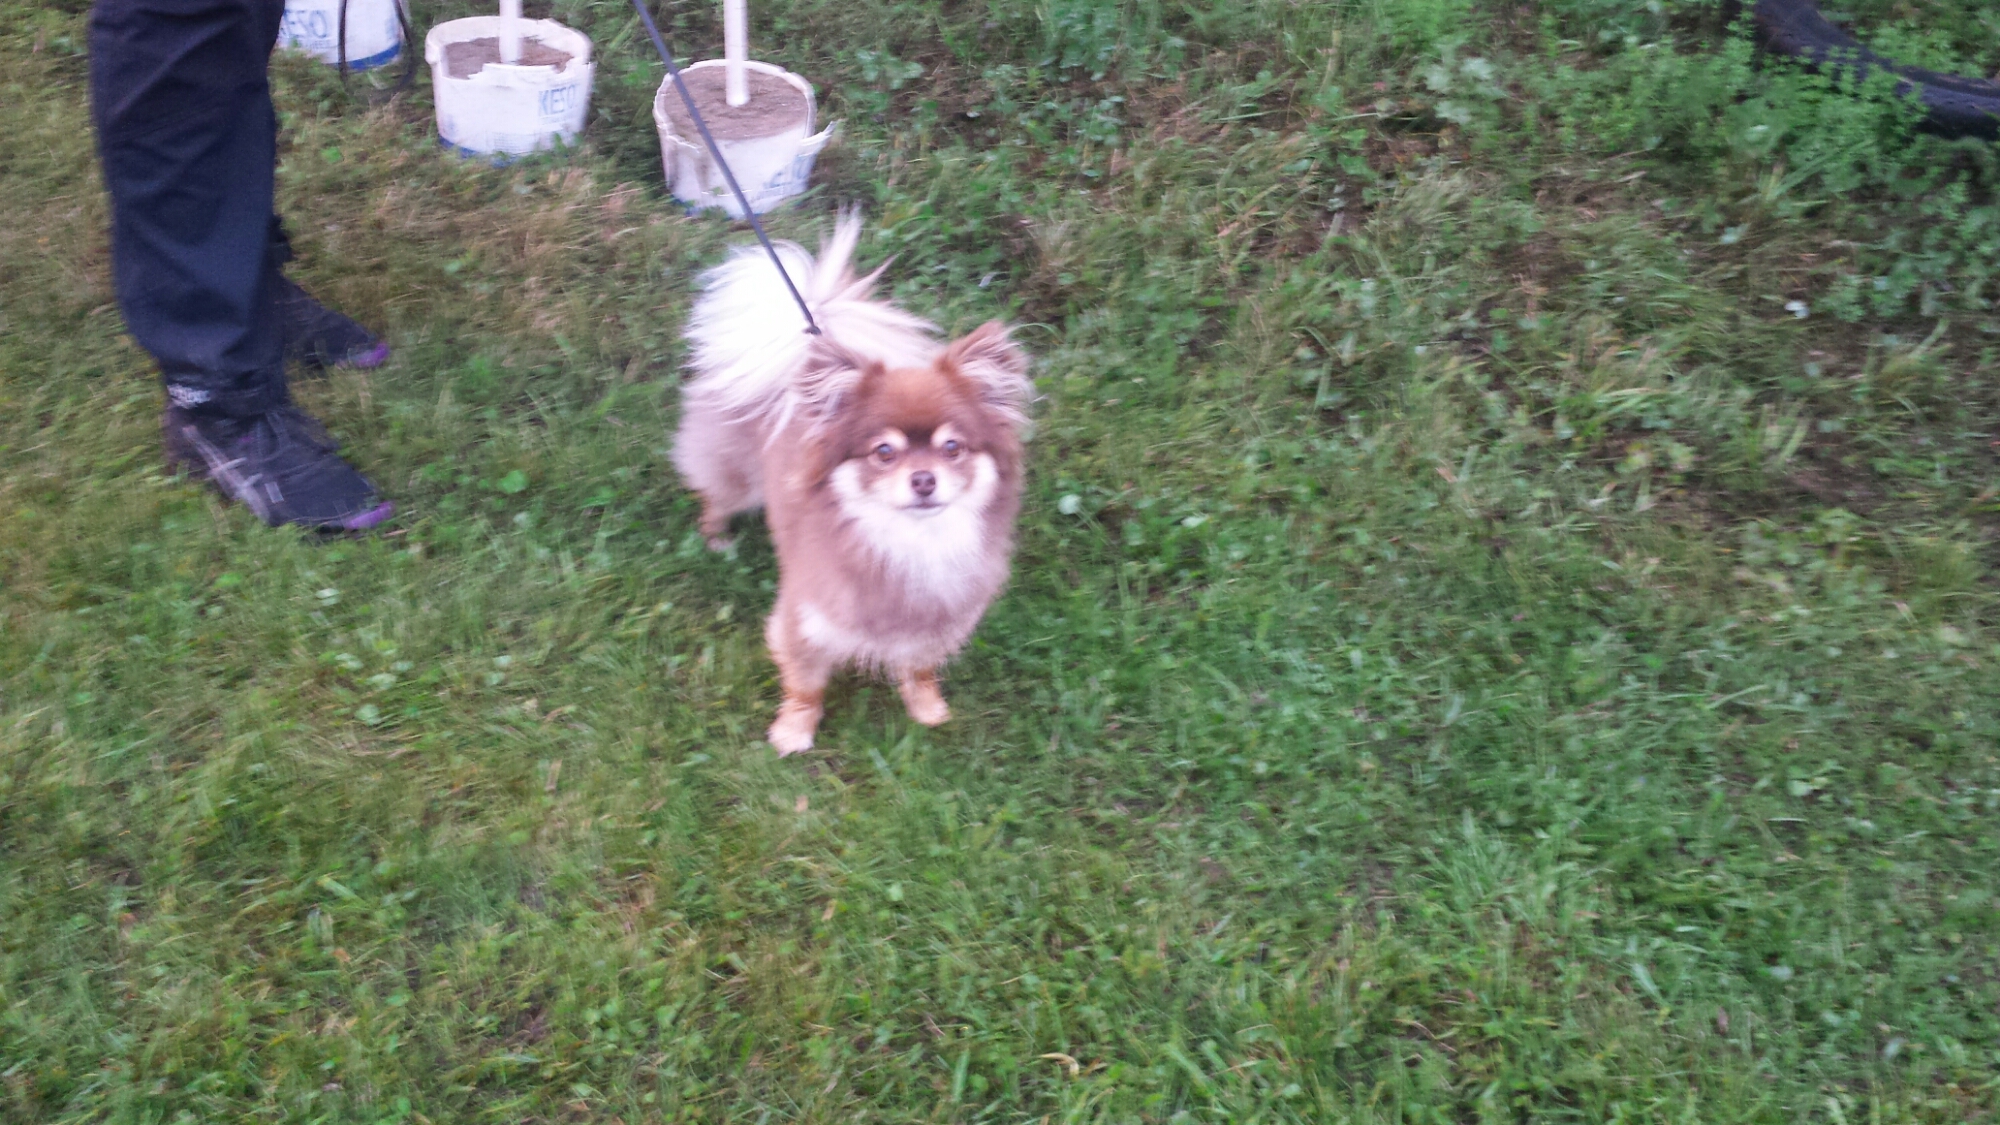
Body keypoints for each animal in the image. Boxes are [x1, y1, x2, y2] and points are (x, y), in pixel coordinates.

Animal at [672, 214, 1032, 755]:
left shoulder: (938, 626)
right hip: (734, 476)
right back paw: (718, 541)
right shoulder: (803, 623)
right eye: (884, 452)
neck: (913, 545)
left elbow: (919, 670)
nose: (923, 479)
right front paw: (793, 732)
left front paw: (926, 709)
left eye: (952, 448)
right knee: (717, 499)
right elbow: (805, 686)